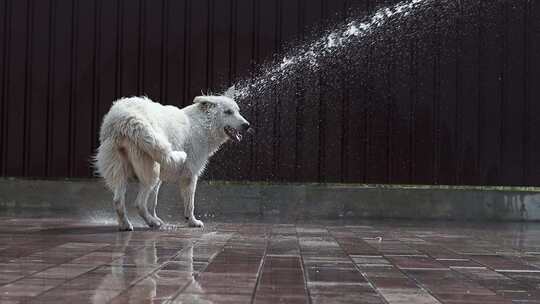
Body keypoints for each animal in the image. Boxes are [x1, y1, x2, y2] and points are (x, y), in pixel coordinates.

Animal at [94, 88, 250, 230]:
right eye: (228, 112)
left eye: (238, 111)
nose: (247, 125)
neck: (204, 124)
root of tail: (124, 117)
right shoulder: (190, 176)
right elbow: (190, 204)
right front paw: (192, 222)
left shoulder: (160, 180)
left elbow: (153, 203)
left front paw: (158, 217)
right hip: (151, 173)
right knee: (138, 204)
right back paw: (152, 223)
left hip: (122, 172)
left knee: (118, 201)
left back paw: (126, 225)